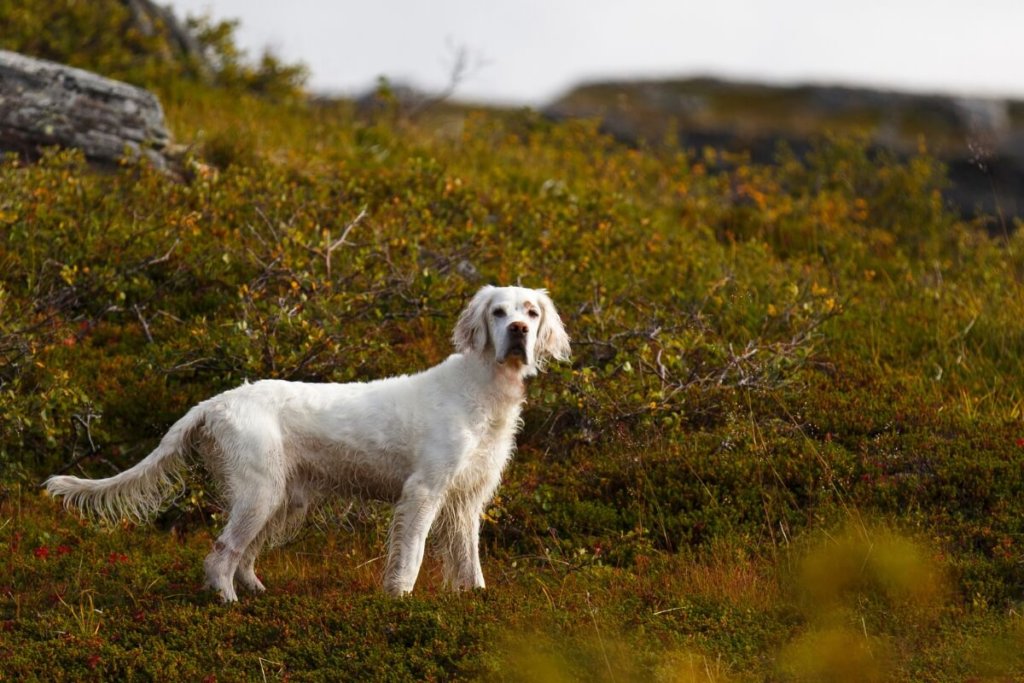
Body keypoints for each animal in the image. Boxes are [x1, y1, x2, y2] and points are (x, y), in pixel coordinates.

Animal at [46, 286, 569, 602]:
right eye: (498, 312)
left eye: (531, 312)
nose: (519, 331)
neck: (479, 388)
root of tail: (215, 402)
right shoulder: (424, 492)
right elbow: (413, 553)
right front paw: (399, 599)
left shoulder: (466, 498)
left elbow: (468, 558)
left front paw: (476, 597)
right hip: (259, 493)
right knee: (222, 552)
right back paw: (228, 602)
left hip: (284, 499)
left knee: (244, 555)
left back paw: (255, 591)